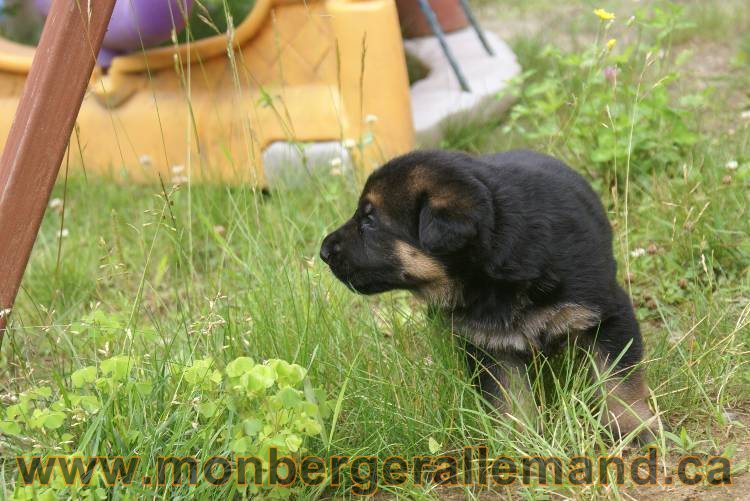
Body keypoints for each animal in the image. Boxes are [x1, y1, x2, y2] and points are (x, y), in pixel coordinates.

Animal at [320, 149, 660, 442]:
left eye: (370, 220)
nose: (323, 252)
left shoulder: (607, 313)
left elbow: (619, 382)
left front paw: (632, 428)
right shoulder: (492, 345)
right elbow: (508, 397)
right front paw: (520, 439)